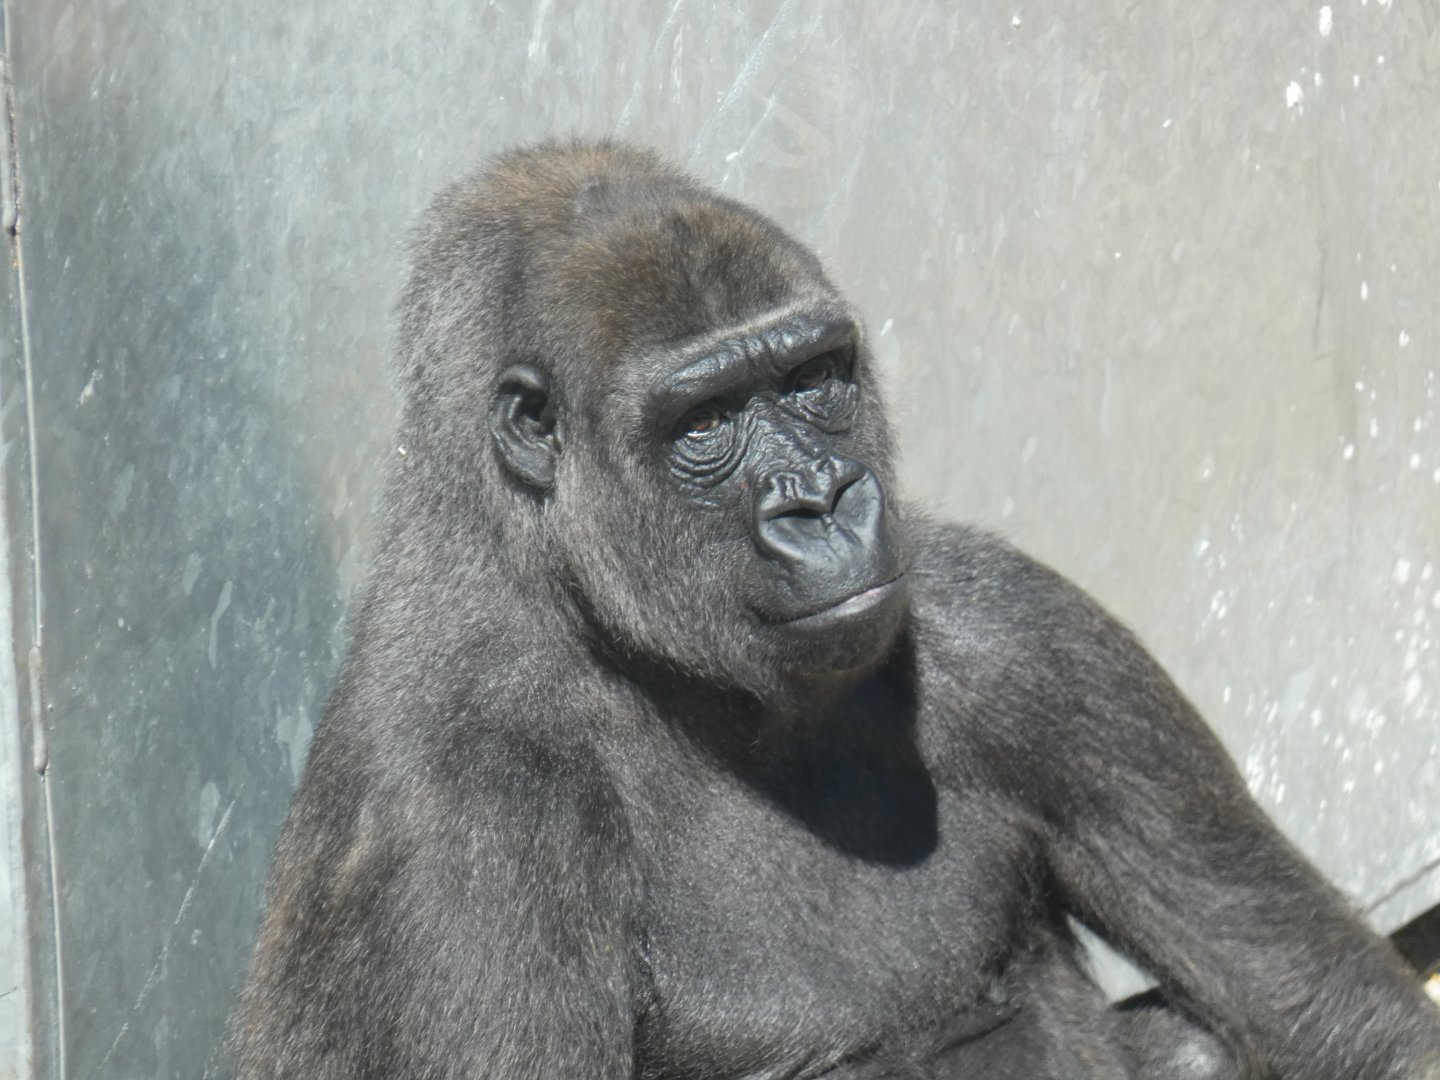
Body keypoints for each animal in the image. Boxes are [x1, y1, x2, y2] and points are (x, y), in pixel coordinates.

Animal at [233, 139, 1440, 1079]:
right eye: (705, 424)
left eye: (813, 378)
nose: (823, 501)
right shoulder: (460, 826)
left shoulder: (1020, 635)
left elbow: (1336, 1017)